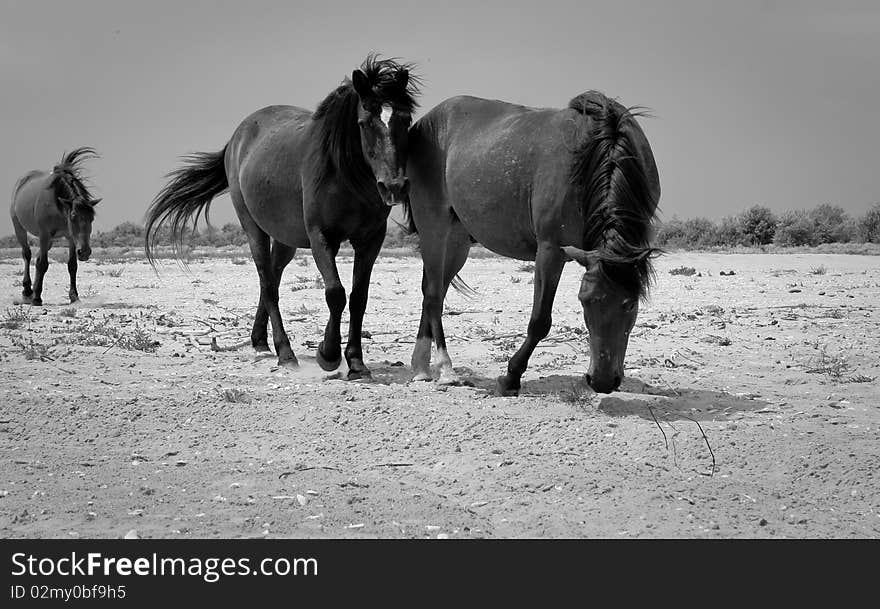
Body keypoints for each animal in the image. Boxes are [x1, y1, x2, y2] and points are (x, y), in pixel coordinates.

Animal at [10, 148, 101, 304]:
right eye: (73, 216)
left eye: (92, 218)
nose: (84, 252)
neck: (58, 204)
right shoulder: (44, 234)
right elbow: (43, 264)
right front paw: (37, 299)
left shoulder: (70, 237)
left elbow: (72, 265)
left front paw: (74, 296)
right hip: (20, 228)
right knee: (27, 255)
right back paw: (28, 292)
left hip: (50, 240)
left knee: (37, 258)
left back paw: (33, 290)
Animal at [144, 57, 420, 378]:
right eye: (364, 123)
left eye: (405, 119)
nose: (394, 186)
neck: (343, 174)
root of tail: (238, 136)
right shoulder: (321, 237)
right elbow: (335, 293)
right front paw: (327, 354)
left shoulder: (370, 240)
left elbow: (358, 298)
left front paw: (355, 361)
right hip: (254, 230)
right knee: (268, 284)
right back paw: (285, 353)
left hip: (285, 240)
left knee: (272, 280)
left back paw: (261, 341)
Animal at [406, 90, 660, 394]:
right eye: (584, 301)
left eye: (630, 304)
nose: (602, 381)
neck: (597, 149)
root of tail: (425, 123)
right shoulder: (550, 250)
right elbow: (540, 321)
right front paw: (511, 376)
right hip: (434, 226)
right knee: (433, 294)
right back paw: (444, 368)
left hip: (457, 241)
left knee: (434, 292)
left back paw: (421, 366)